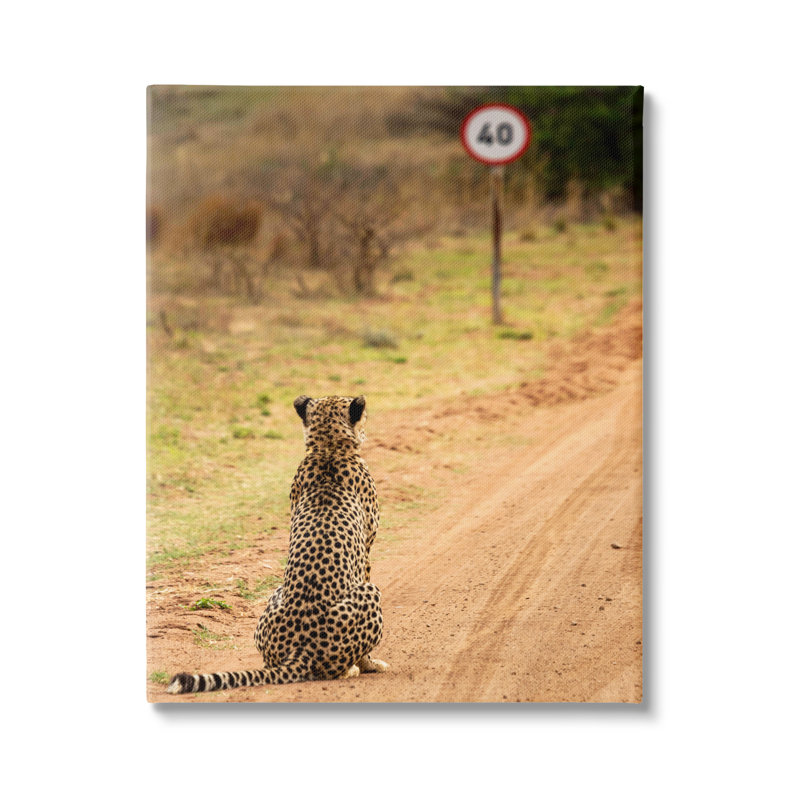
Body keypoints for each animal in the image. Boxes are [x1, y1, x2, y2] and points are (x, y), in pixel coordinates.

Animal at [166, 395, 389, 694]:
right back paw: (351, 669)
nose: (367, 427)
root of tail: (300, 650)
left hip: (275, 595)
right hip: (370, 592)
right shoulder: (366, 551)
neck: (328, 449)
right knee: (333, 669)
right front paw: (371, 664)